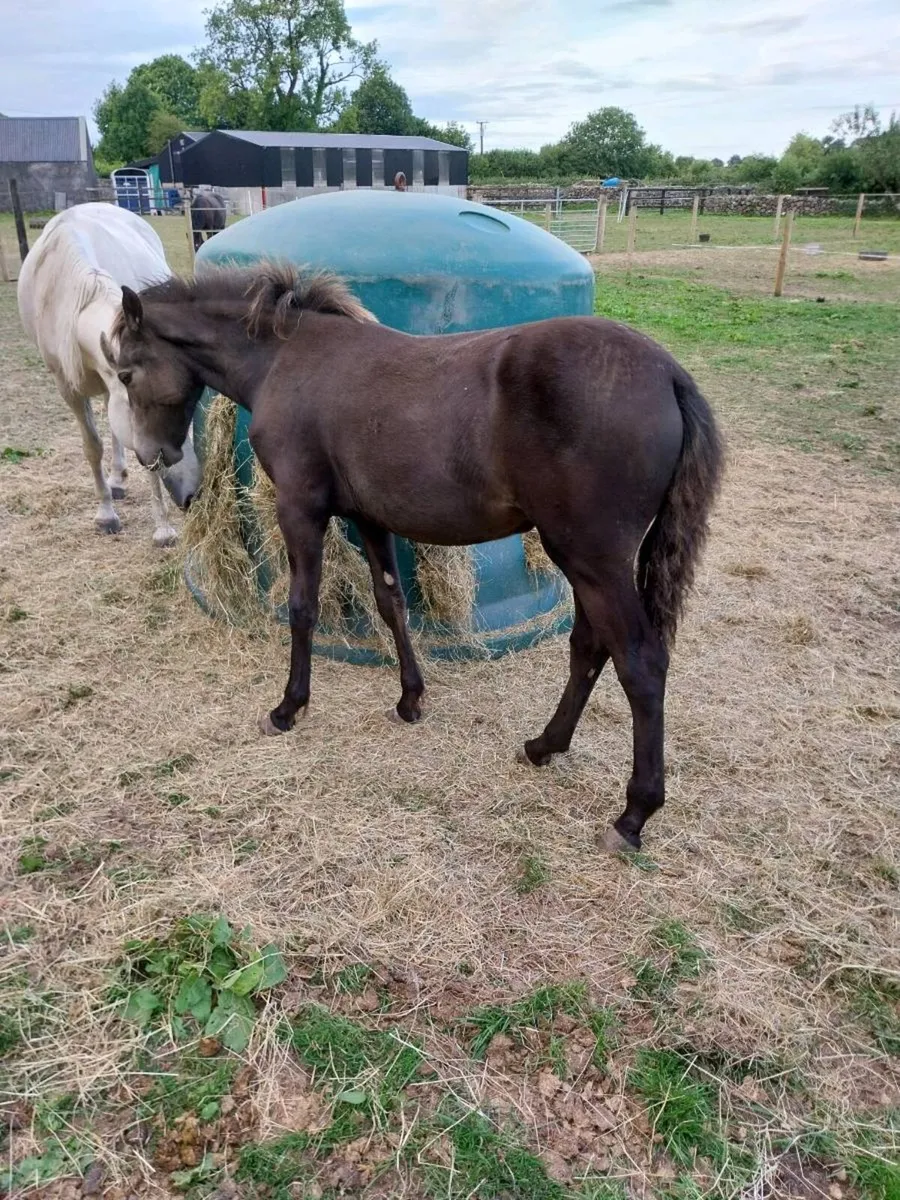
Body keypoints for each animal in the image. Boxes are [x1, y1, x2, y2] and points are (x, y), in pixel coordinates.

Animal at [106, 265, 724, 852]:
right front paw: (410, 698)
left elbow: (303, 608)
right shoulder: (369, 517)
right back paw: (545, 745)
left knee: (639, 662)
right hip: (588, 563)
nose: (151, 456)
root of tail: (667, 372)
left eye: (126, 373)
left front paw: (289, 707)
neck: (286, 359)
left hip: (592, 559)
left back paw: (633, 814)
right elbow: (390, 601)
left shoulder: (301, 508)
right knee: (589, 648)